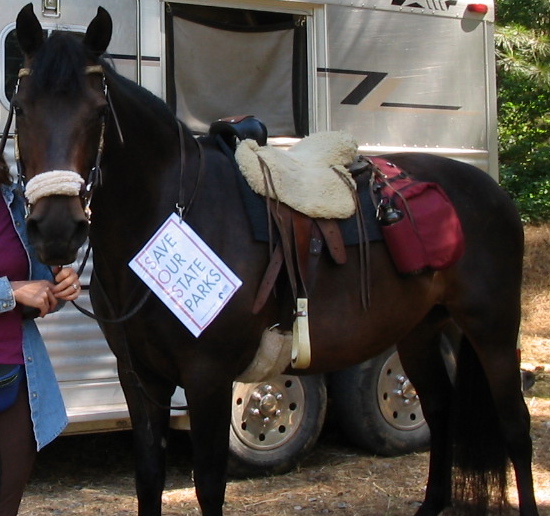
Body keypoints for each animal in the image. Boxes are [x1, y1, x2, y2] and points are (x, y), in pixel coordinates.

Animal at [11, 4, 540, 516]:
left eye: (99, 110)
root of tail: (491, 190)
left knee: (515, 426)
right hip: (420, 330)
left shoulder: (207, 377)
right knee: (440, 409)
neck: (167, 215)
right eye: (19, 106)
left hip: (491, 328)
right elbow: (148, 481)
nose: (57, 230)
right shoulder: (140, 379)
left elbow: (209, 486)